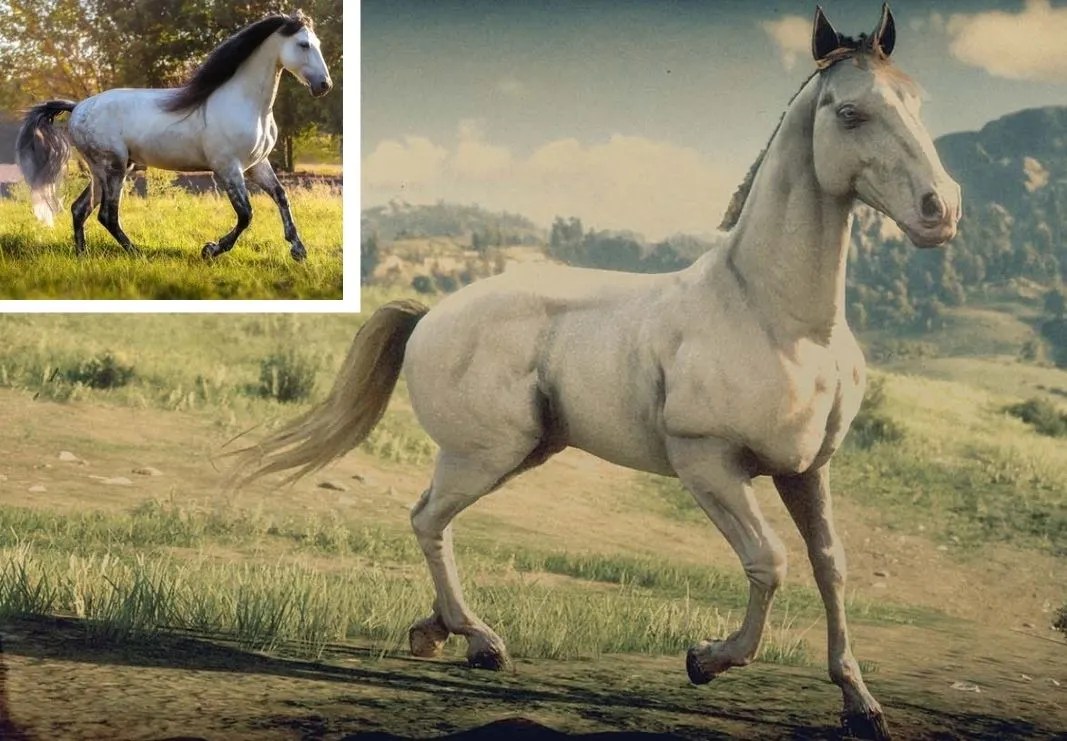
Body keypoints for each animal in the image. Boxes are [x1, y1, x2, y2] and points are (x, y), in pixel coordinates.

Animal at [14, 11, 332, 262]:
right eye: (303, 44)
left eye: (317, 44)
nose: (324, 85)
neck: (246, 103)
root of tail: (78, 107)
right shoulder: (228, 168)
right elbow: (246, 215)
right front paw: (210, 249)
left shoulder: (257, 165)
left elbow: (281, 196)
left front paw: (298, 250)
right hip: (113, 167)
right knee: (107, 215)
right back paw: (136, 253)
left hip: (102, 171)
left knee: (80, 209)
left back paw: (83, 255)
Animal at [234, 5, 959, 739]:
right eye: (850, 113)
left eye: (916, 100)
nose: (941, 210)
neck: (776, 316)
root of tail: (431, 314)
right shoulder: (710, 463)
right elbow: (769, 562)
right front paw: (704, 660)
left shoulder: (806, 470)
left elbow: (830, 567)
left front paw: (860, 703)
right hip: (485, 455)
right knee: (428, 520)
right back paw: (481, 641)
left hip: (515, 453)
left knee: (428, 516)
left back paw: (436, 632)